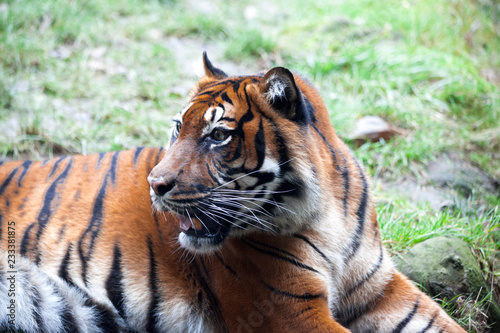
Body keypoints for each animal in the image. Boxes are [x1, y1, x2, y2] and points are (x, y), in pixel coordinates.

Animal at [0, 53, 466, 330]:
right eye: (177, 128)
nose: (155, 184)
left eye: (218, 136)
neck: (327, 215)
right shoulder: (286, 309)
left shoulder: (382, 289)